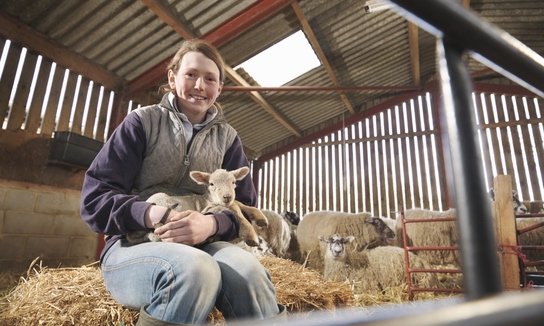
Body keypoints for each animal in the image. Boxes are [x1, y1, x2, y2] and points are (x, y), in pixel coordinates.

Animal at [125, 167, 266, 246]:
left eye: (233, 182)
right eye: (211, 184)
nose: (227, 196)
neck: (209, 199)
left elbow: (238, 202)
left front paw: (260, 218)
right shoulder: (210, 206)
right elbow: (235, 207)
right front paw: (251, 235)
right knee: (155, 234)